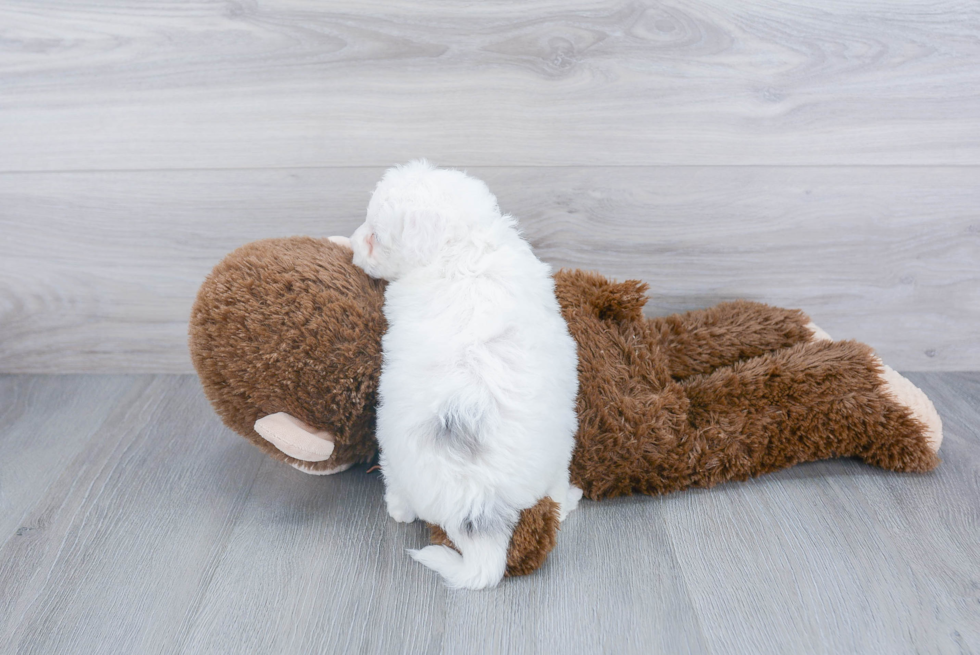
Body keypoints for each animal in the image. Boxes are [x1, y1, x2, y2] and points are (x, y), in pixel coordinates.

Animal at [352, 161, 580, 592]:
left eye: (375, 235)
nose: (354, 245)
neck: (461, 244)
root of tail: (480, 508)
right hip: (558, 444)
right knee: (554, 492)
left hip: (392, 449)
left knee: (398, 490)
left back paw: (398, 510)